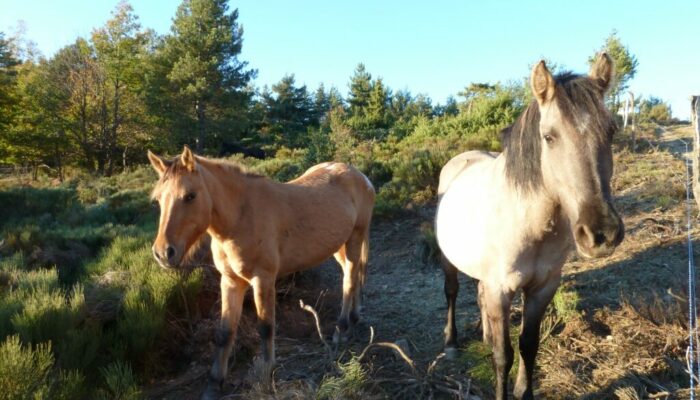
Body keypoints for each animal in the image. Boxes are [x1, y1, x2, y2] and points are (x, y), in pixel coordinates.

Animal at [149, 148, 378, 398]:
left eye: (190, 196)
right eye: (158, 199)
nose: (163, 253)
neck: (241, 216)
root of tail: (360, 176)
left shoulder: (263, 279)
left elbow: (266, 327)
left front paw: (266, 376)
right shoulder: (230, 282)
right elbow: (225, 332)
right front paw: (214, 384)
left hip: (355, 237)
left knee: (350, 280)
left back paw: (342, 329)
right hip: (339, 245)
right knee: (351, 275)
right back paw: (353, 318)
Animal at [438, 54, 624, 400]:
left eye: (611, 132)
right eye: (549, 137)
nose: (602, 233)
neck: (530, 225)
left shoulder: (542, 288)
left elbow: (528, 346)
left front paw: (525, 391)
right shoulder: (501, 289)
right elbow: (504, 356)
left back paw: (484, 334)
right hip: (449, 261)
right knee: (452, 291)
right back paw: (451, 342)